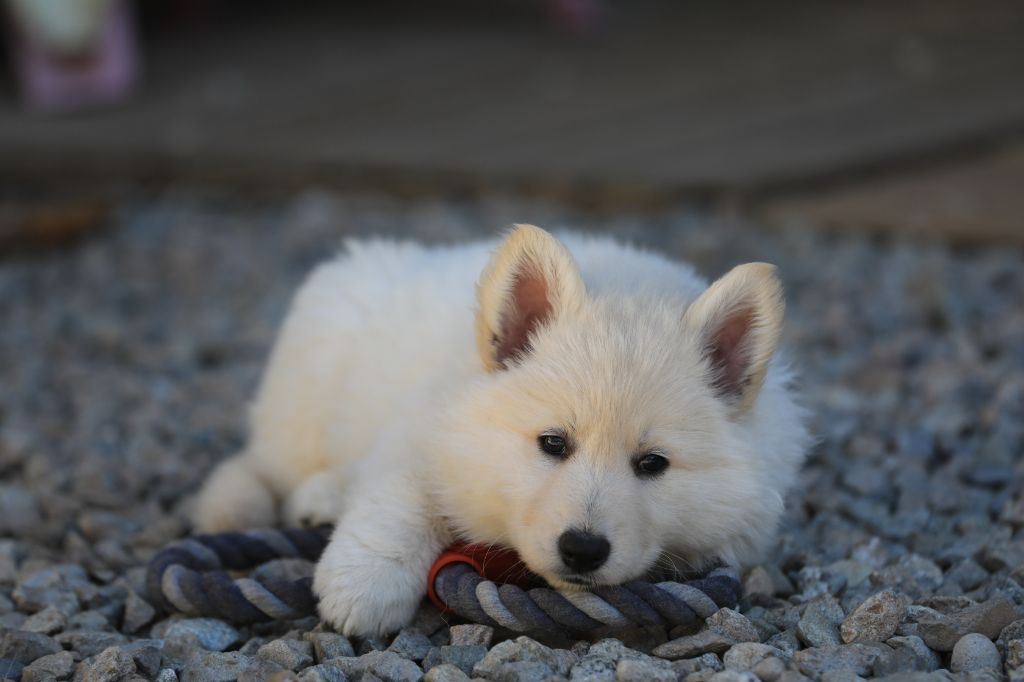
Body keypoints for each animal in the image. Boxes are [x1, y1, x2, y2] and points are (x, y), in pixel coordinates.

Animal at [195, 225, 811, 634]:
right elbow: (399, 503)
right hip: (305, 396)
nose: (583, 550)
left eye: (653, 463)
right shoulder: (423, 431)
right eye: (553, 443)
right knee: (260, 460)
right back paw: (238, 504)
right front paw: (363, 586)